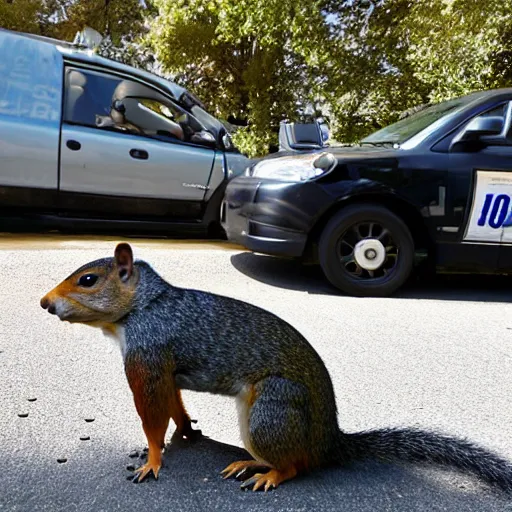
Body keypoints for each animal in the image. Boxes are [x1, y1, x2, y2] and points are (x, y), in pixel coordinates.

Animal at [40, 244, 512, 492]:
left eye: (88, 281)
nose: (45, 303)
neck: (144, 306)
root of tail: (328, 441)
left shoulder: (148, 354)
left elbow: (153, 414)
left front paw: (152, 459)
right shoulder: (162, 366)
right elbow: (174, 404)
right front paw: (187, 431)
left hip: (272, 409)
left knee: (297, 466)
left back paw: (268, 474)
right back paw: (250, 463)